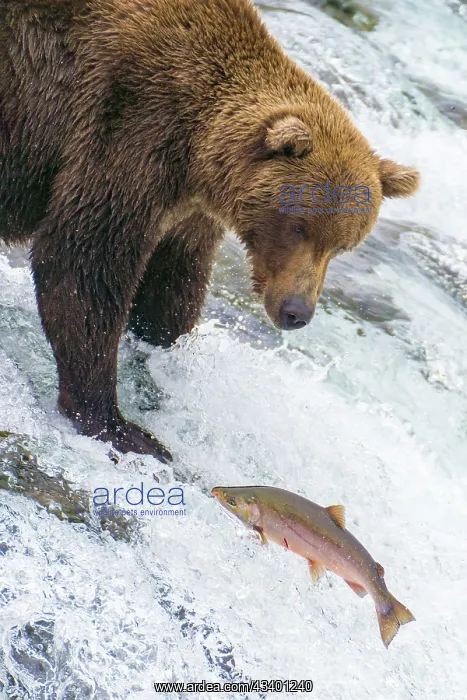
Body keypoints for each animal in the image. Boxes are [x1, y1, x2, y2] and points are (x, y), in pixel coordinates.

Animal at [0, 0, 420, 460]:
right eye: (299, 227)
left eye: (342, 246)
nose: (297, 312)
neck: (198, 150)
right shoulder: (128, 130)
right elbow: (83, 261)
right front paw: (120, 426)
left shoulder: (188, 211)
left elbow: (170, 285)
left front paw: (168, 363)